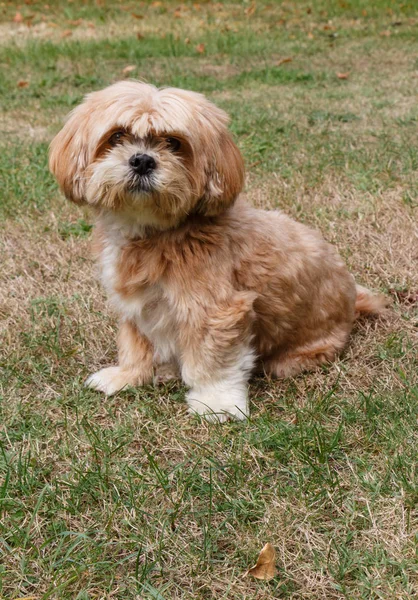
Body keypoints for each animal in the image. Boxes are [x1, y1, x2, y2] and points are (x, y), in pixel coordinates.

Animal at [49, 81, 386, 422]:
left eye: (174, 143)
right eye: (117, 136)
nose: (142, 160)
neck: (156, 233)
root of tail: (352, 301)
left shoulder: (215, 310)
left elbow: (213, 361)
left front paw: (217, 403)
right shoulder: (136, 305)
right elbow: (135, 344)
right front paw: (127, 376)